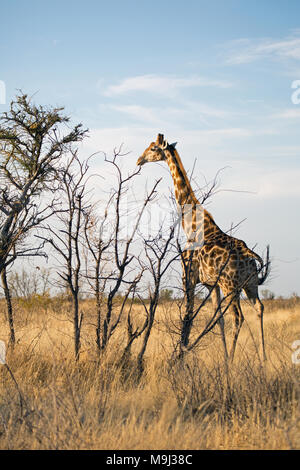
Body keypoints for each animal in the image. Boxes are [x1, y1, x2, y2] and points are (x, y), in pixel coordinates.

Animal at [137, 134, 270, 362]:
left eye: (153, 148)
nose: (139, 160)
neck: (194, 226)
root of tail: (249, 255)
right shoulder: (210, 285)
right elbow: (218, 320)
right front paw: (221, 357)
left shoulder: (188, 278)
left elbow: (188, 318)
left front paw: (182, 356)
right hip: (250, 284)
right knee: (259, 309)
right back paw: (262, 360)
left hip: (230, 286)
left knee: (238, 317)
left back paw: (232, 361)